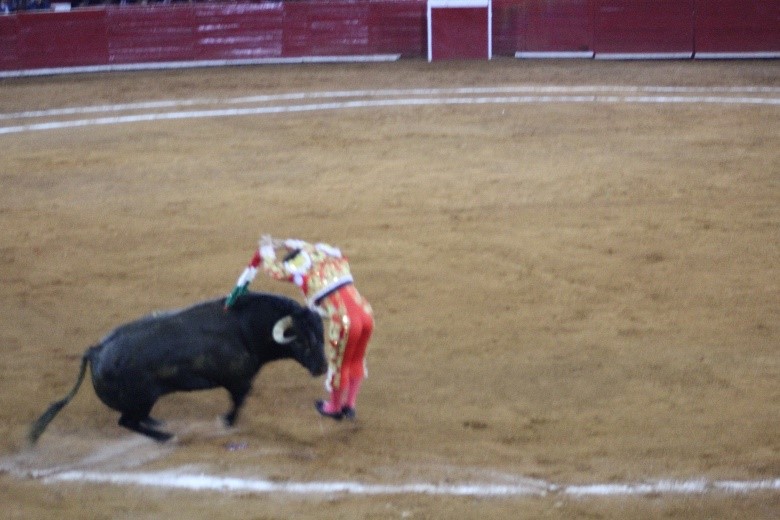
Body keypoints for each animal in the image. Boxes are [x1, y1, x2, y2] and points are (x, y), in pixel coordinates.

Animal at [28, 292, 326, 442]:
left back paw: (159, 424)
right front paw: (226, 422)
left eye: (322, 335)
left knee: (135, 419)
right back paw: (165, 436)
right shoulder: (239, 381)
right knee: (127, 421)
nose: (323, 368)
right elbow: (238, 403)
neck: (245, 327)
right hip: (142, 398)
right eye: (301, 340)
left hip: (142, 401)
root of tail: (95, 351)